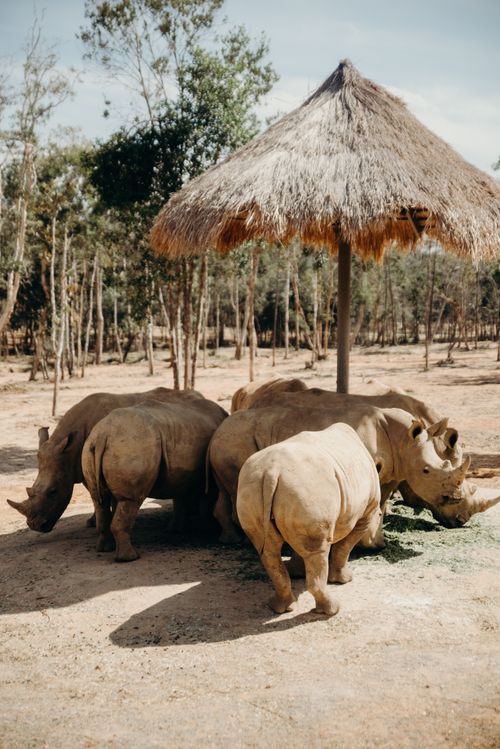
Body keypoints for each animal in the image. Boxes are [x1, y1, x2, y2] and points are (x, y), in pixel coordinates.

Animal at [7, 388, 206, 532]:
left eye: (53, 492)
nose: (35, 527)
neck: (67, 451)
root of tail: (199, 395)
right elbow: (94, 494)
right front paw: (92, 522)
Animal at [81, 397, 227, 562]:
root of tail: (102, 434)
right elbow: (206, 500)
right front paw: (210, 528)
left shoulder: (180, 474)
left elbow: (179, 498)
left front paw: (175, 529)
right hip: (133, 446)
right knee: (131, 500)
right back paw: (130, 558)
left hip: (91, 447)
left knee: (99, 500)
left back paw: (105, 549)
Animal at [208, 403, 483, 545]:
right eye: (427, 471)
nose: (461, 520)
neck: (404, 443)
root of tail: (218, 427)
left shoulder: (391, 472)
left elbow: (381, 504)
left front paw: (376, 541)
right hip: (236, 439)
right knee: (236, 490)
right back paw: (244, 542)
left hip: (231, 439)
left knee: (225, 491)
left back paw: (230, 540)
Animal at [237, 423, 381, 616]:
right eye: (380, 516)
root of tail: (271, 473)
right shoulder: (365, 514)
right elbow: (345, 547)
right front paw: (344, 580)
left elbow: (300, 549)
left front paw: (298, 572)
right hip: (307, 489)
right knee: (318, 551)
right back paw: (331, 610)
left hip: (254, 486)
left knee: (269, 551)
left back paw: (280, 607)